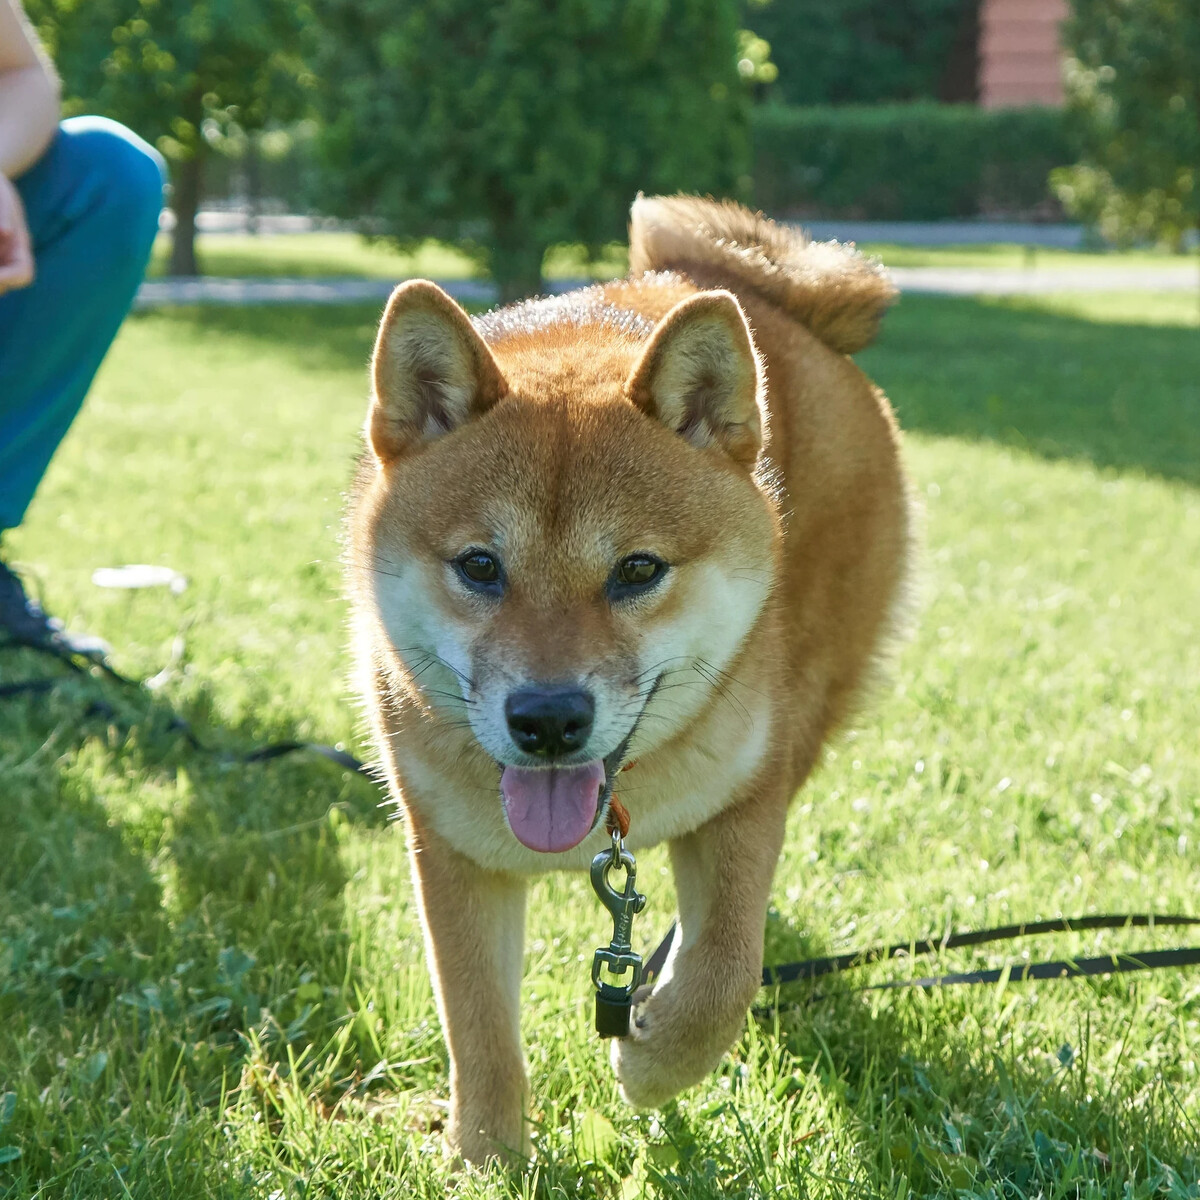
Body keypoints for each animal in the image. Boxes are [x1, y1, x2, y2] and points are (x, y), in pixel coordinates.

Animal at [345, 194, 907, 1161]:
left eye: (638, 570)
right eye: (481, 566)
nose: (548, 719)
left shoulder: (746, 799)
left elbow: (725, 974)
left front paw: (652, 1061)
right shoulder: (448, 855)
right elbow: (478, 1028)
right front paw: (490, 1160)